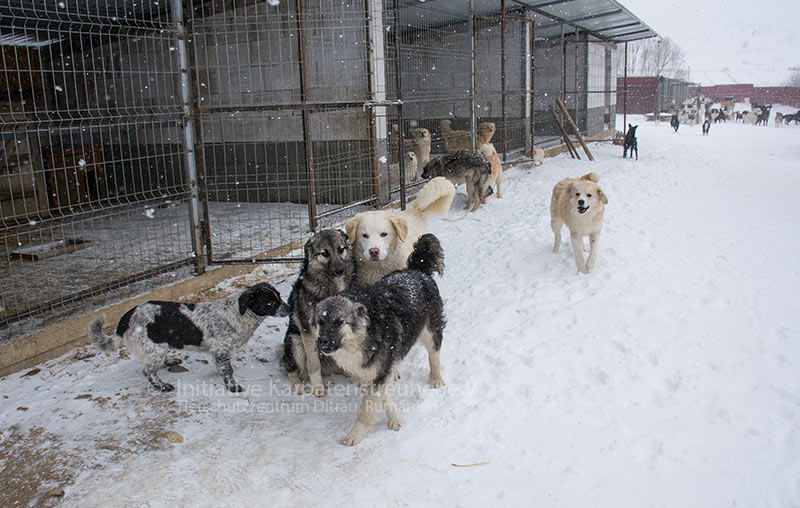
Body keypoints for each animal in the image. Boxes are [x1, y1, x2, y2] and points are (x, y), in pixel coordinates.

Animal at [89, 282, 290, 392]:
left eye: (279, 296)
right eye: (269, 302)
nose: (290, 308)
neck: (239, 314)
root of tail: (127, 317)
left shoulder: (218, 353)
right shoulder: (222, 351)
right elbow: (228, 372)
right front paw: (233, 387)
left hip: (156, 347)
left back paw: (169, 361)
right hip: (154, 348)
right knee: (148, 371)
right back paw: (162, 386)